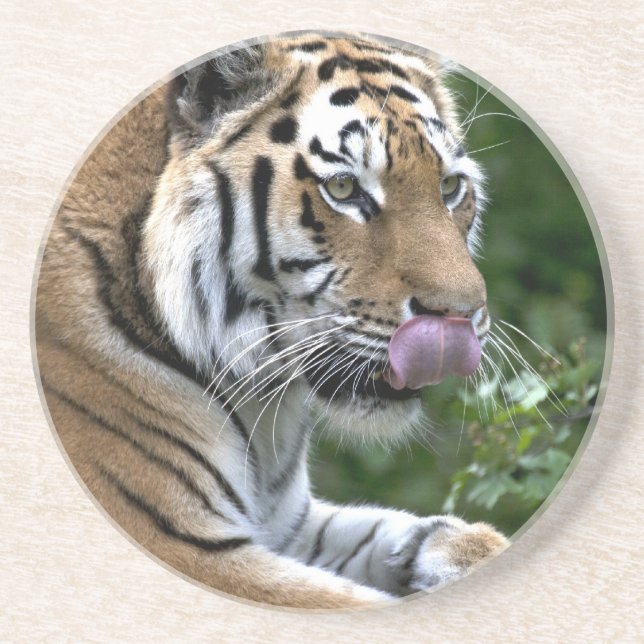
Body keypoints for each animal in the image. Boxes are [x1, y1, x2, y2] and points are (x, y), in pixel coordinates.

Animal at [35, 33, 508, 609]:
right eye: (344, 189)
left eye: (450, 187)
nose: (461, 315)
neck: (264, 409)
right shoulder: (185, 543)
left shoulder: (291, 525)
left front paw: (455, 547)